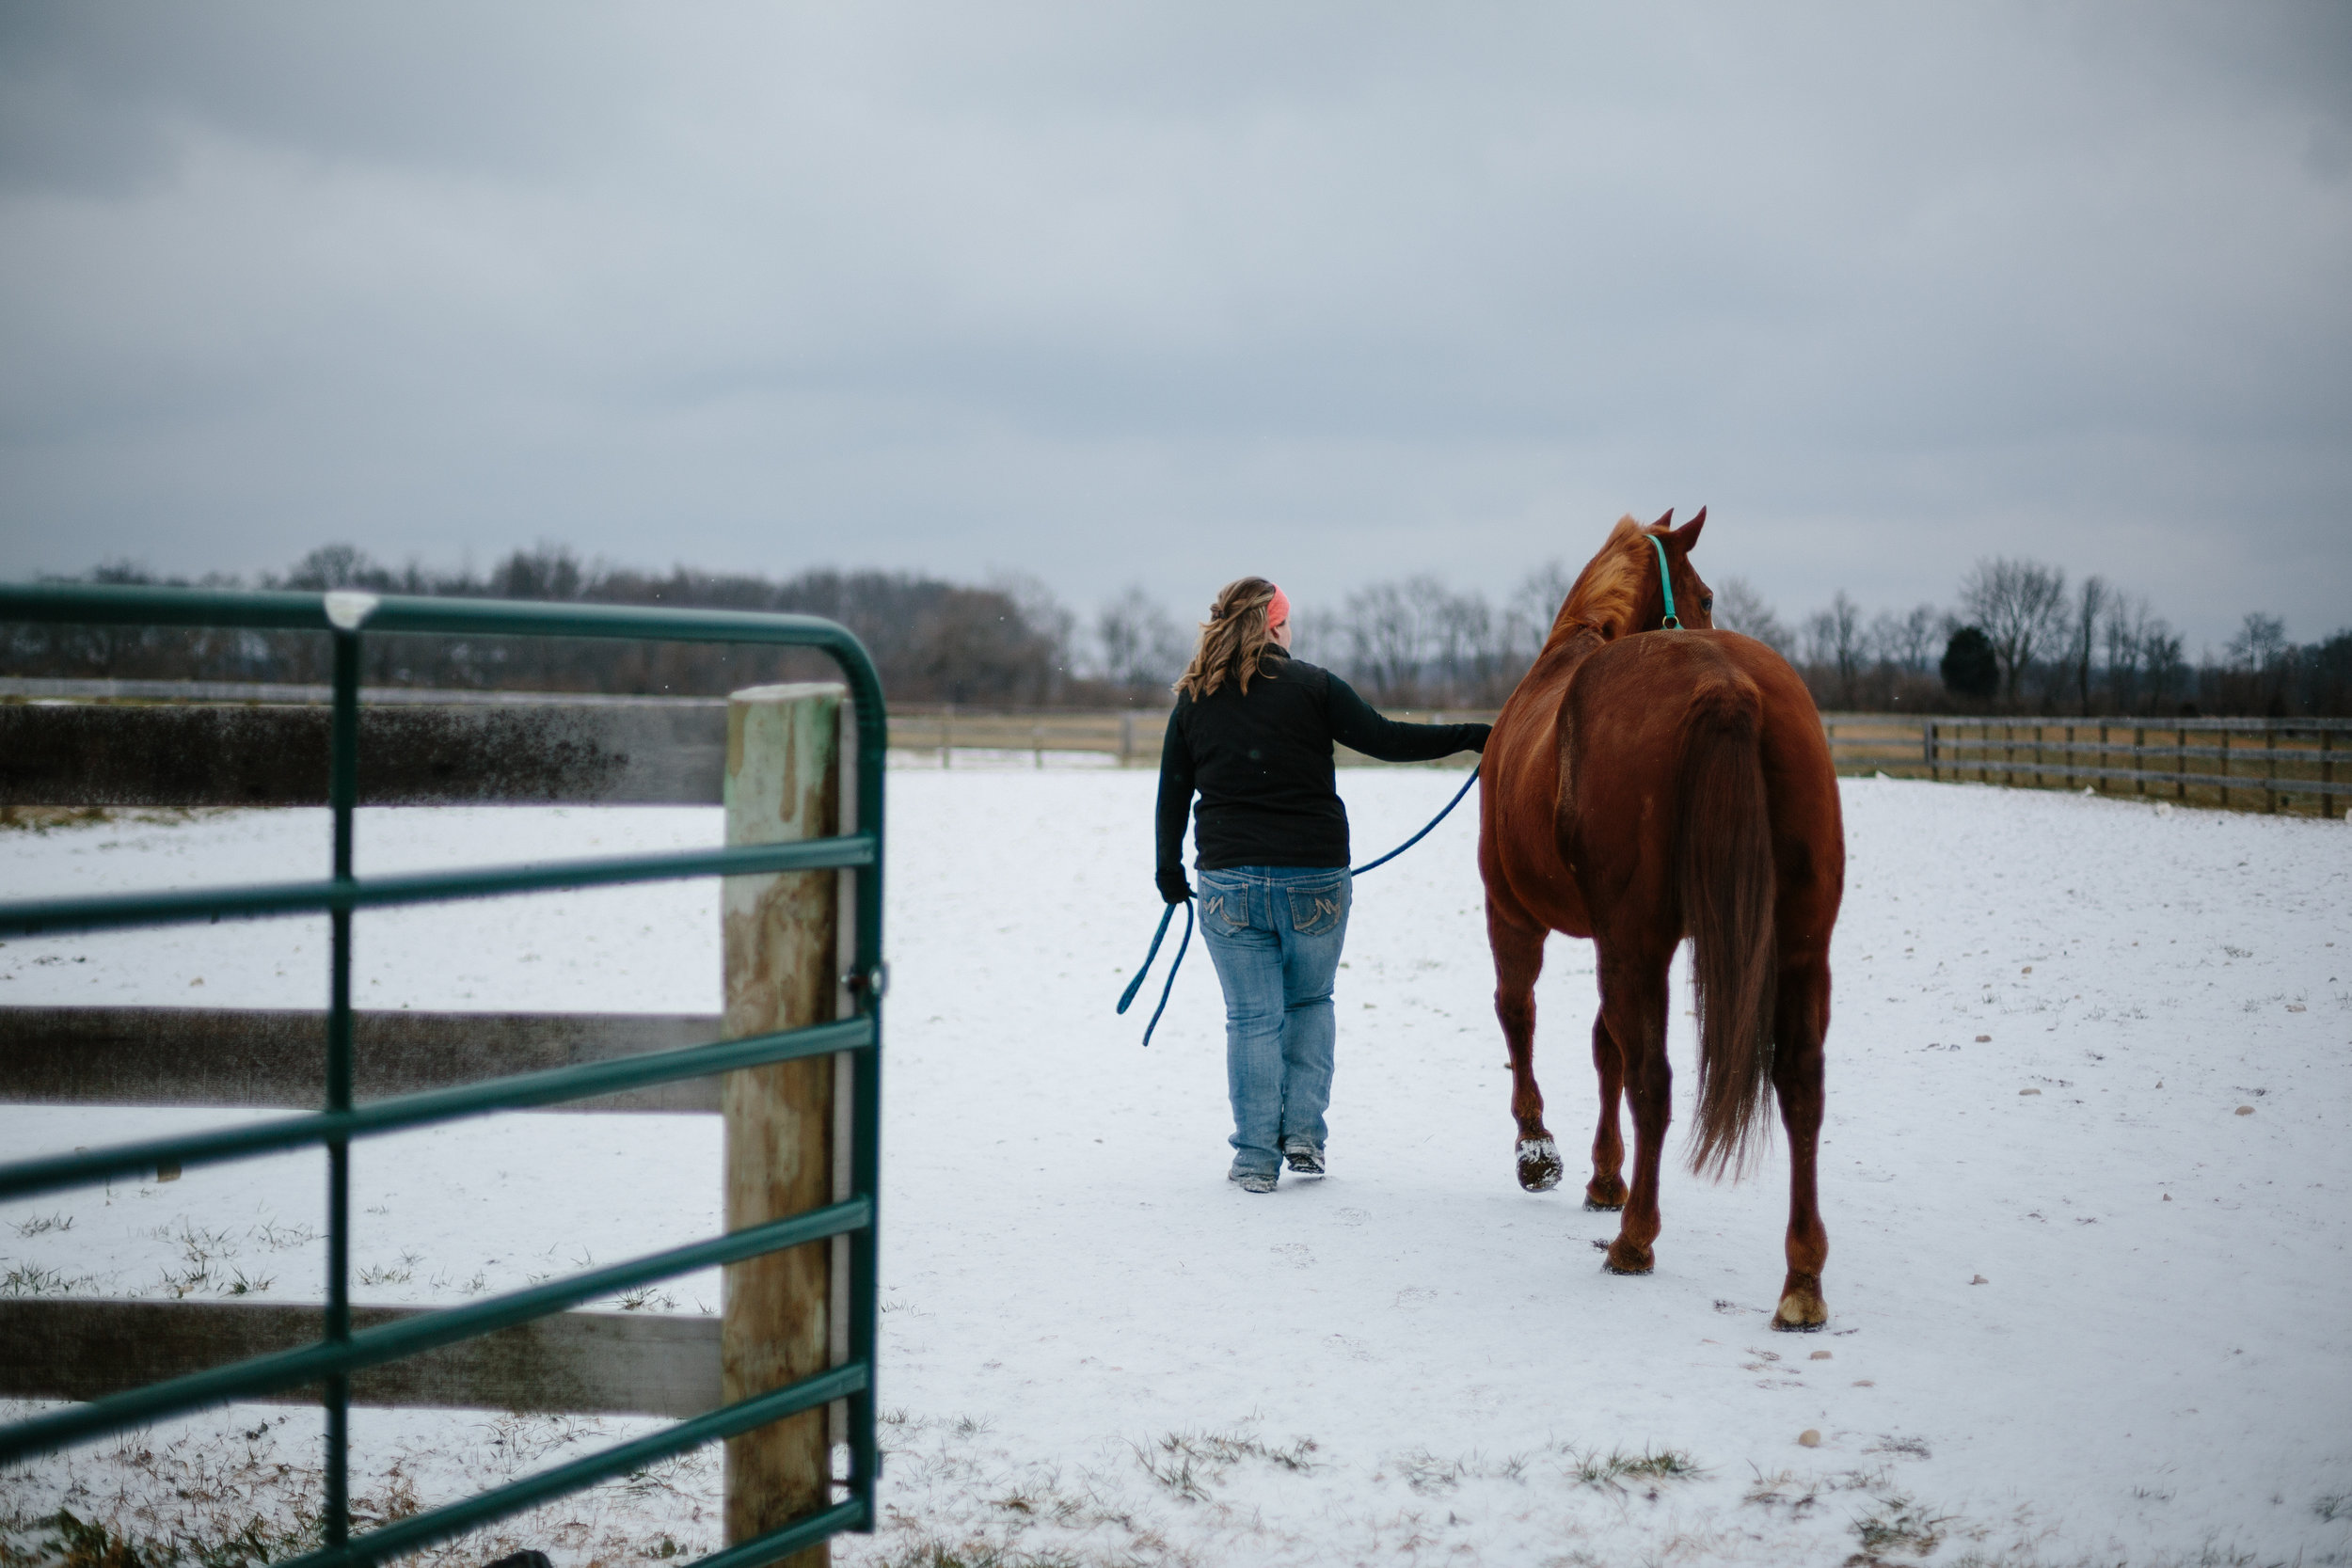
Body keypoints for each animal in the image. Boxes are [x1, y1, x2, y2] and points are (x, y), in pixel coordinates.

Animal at [1477, 510, 1844, 1335]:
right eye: (1706, 594)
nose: (1708, 613)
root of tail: (1726, 684)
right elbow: (1600, 1043)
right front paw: (1598, 1173)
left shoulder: (1517, 914)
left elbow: (1524, 1017)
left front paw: (1539, 1150)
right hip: (1800, 944)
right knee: (1801, 1081)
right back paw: (1801, 1278)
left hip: (1629, 941)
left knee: (1653, 1078)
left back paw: (1635, 1238)